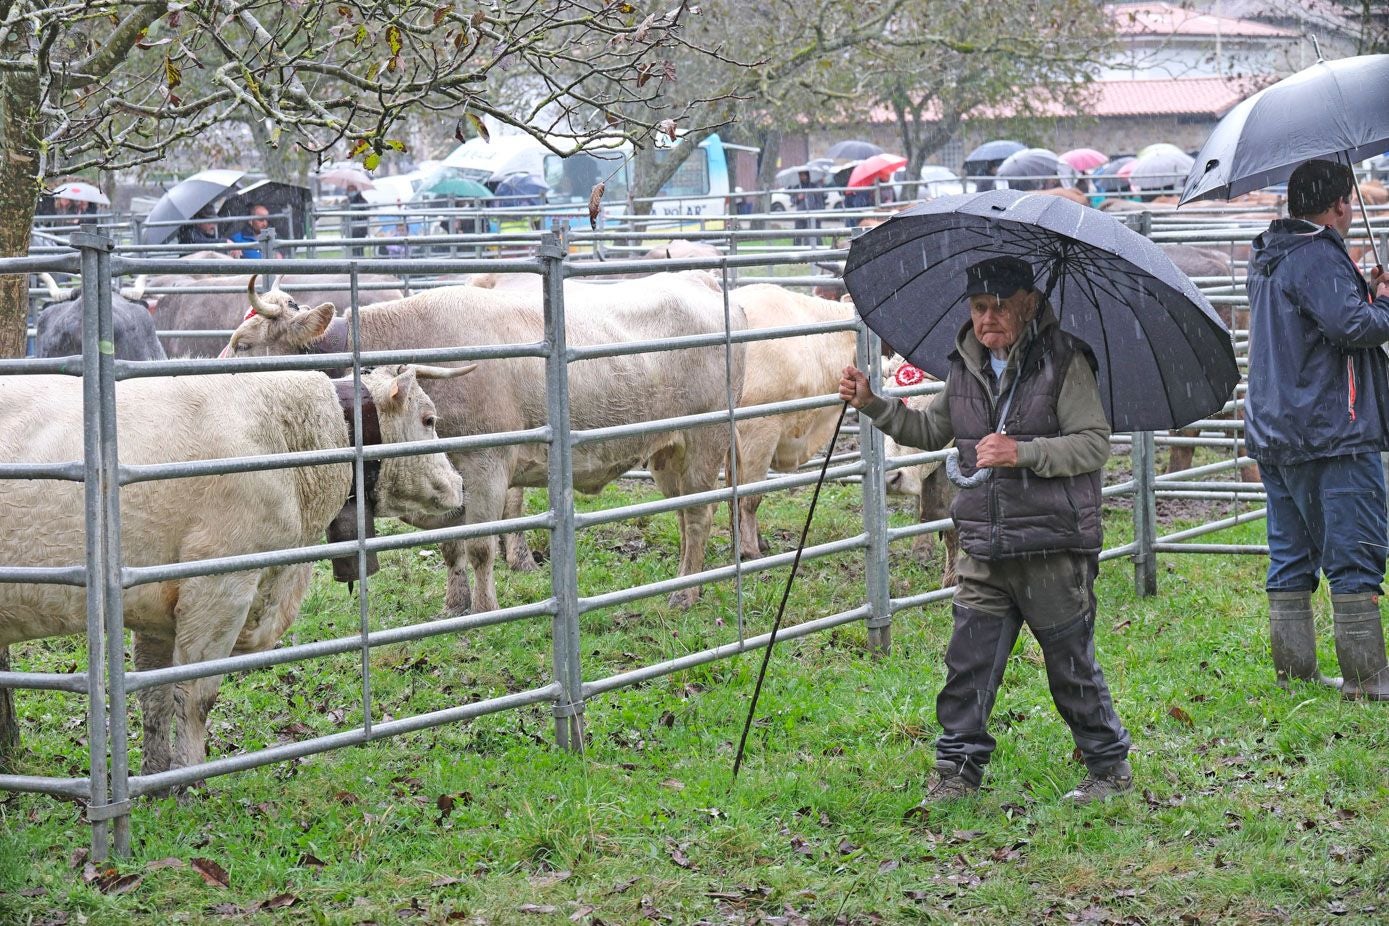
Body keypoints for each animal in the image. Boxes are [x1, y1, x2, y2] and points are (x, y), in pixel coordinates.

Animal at [0, 360, 466, 777]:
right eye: (429, 419)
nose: (459, 484)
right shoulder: (220, 586)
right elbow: (194, 697)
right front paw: (187, 783)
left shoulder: (153, 606)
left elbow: (154, 695)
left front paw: (155, 780)